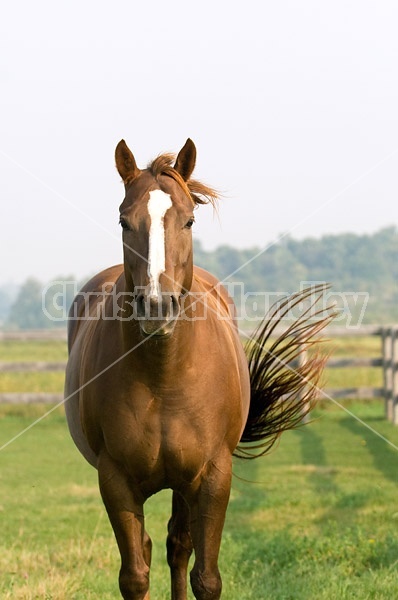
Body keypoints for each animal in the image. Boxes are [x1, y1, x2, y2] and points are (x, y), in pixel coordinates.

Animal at [65, 138, 332, 596]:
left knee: (177, 546)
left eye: (188, 221)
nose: (157, 307)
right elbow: (134, 576)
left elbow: (205, 577)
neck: (163, 376)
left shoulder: (212, 478)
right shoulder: (115, 481)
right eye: (123, 221)